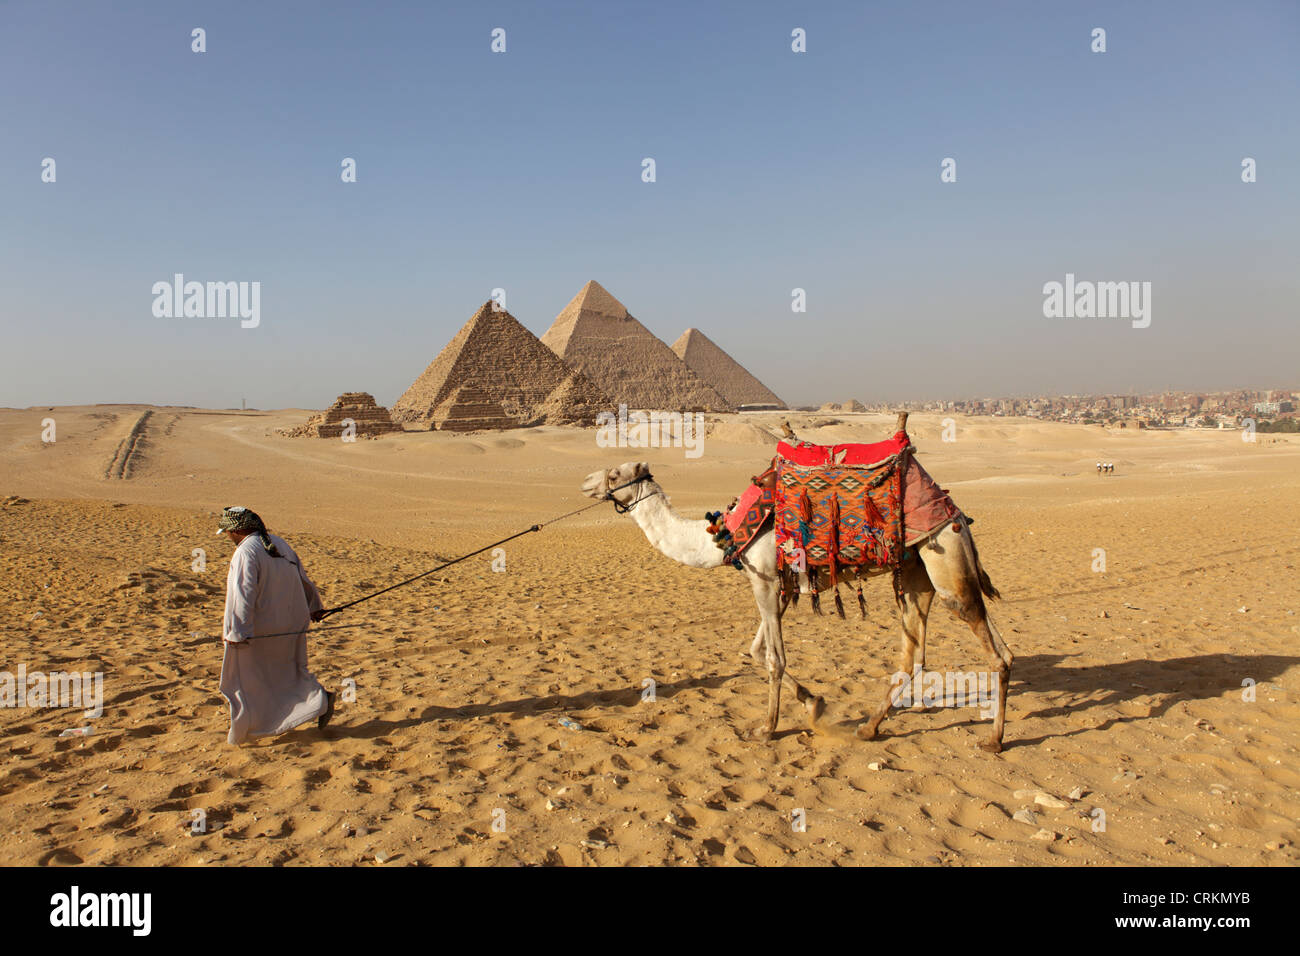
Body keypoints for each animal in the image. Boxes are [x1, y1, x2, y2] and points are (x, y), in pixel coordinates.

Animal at [579, 418, 1013, 754]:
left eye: (615, 475)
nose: (585, 482)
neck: (725, 533)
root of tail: (955, 513)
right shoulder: (778, 584)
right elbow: (756, 651)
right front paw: (813, 701)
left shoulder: (766, 580)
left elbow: (773, 659)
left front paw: (766, 728)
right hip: (916, 572)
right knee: (922, 654)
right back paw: (869, 727)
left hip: (945, 558)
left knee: (993, 651)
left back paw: (993, 740)